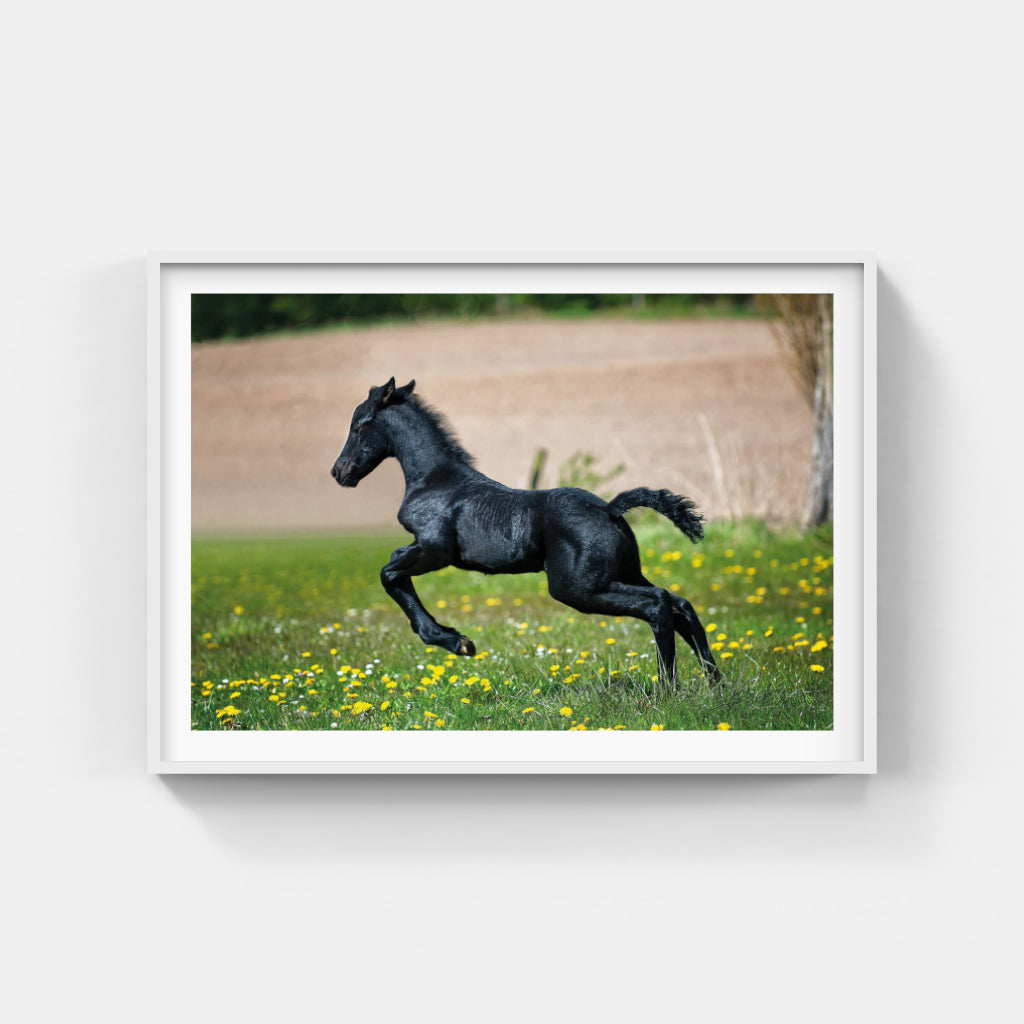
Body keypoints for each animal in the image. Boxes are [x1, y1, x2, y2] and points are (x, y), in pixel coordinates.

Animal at [330, 377, 720, 685]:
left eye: (358, 425)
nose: (339, 472)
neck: (435, 480)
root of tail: (609, 509)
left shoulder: (435, 550)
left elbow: (389, 572)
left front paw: (457, 642)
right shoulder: (422, 549)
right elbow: (394, 569)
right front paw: (455, 638)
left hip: (578, 588)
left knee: (658, 604)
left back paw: (668, 687)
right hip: (622, 573)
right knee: (680, 604)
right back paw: (715, 683)